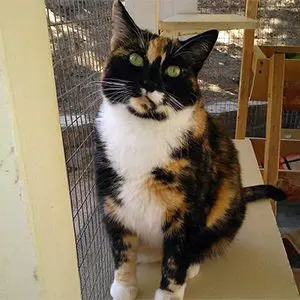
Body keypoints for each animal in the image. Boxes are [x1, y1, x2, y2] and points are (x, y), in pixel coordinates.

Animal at [94, 1, 286, 298]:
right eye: (135, 59)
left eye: (173, 70)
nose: (150, 83)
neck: (143, 130)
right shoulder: (111, 201)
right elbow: (121, 247)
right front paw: (124, 286)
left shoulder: (190, 209)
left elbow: (177, 256)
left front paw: (169, 292)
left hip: (227, 200)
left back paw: (193, 265)